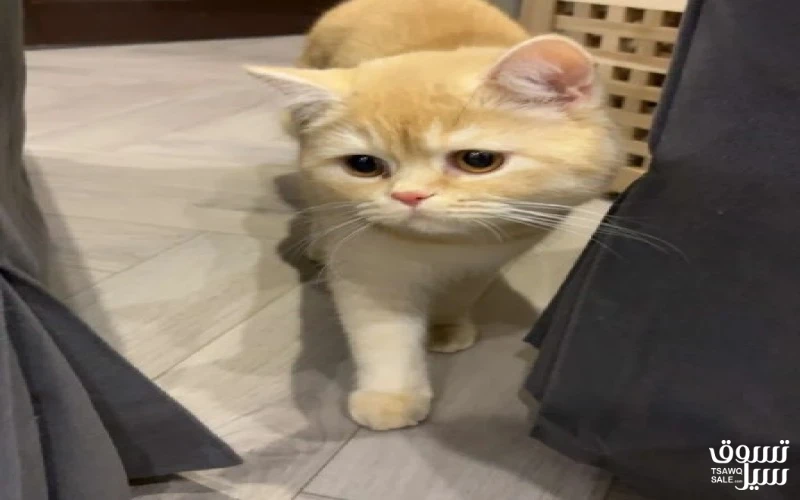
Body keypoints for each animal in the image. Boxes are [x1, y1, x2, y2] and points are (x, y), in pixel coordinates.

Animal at [247, 0, 620, 431]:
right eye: (363, 165)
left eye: (478, 160)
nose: (409, 195)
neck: (443, 246)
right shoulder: (370, 268)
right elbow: (385, 335)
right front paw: (391, 397)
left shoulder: (486, 262)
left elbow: (459, 295)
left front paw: (446, 327)